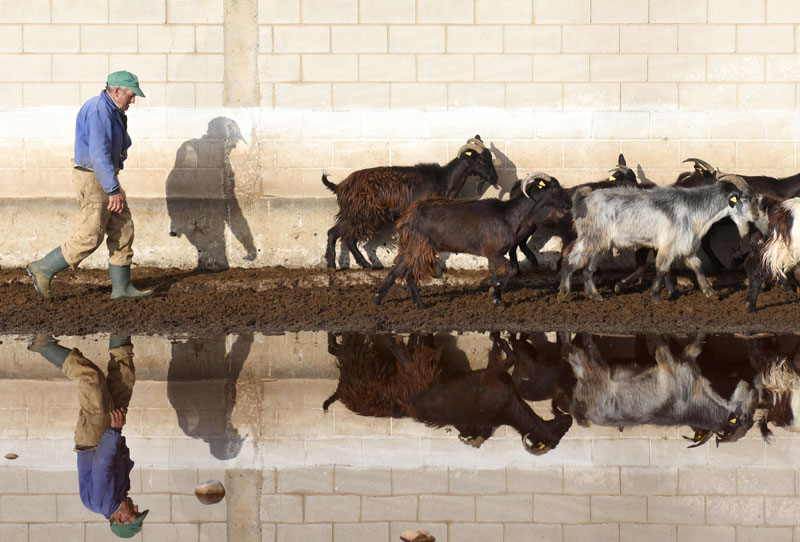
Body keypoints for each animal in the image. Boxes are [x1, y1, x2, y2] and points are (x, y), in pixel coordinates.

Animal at [322, 135, 496, 270]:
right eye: (482, 162)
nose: (495, 179)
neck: (444, 180)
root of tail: (340, 186)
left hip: (355, 214)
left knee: (337, 233)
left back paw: (343, 264)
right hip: (362, 214)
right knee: (344, 236)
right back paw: (345, 264)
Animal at [376, 174, 576, 310]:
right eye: (554, 188)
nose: (570, 203)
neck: (509, 215)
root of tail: (407, 215)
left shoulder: (493, 254)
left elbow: (495, 274)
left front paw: (497, 297)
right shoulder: (493, 252)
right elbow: (511, 269)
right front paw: (495, 296)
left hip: (414, 246)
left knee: (400, 271)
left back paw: (383, 299)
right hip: (419, 245)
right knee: (409, 273)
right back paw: (416, 303)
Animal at [556, 176, 756, 304]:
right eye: (745, 199)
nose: (754, 217)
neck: (695, 210)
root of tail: (584, 201)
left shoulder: (686, 246)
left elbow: (697, 266)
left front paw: (709, 291)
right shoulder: (669, 244)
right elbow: (662, 268)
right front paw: (656, 296)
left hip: (597, 241)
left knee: (584, 266)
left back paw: (592, 295)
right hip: (594, 238)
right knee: (575, 261)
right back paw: (564, 293)